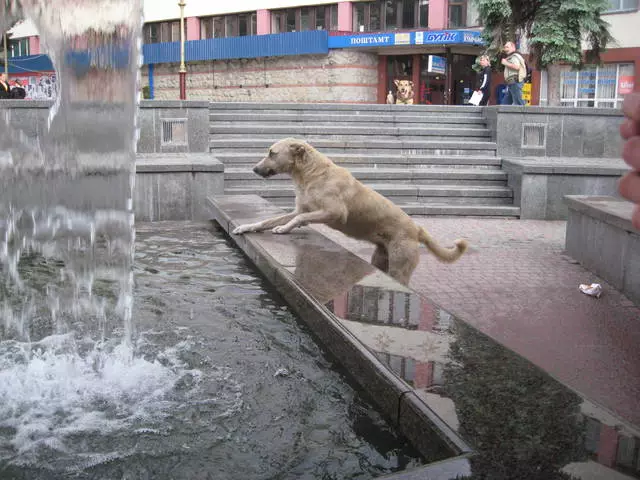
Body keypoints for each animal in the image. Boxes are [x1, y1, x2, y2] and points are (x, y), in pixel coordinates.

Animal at [232, 140, 468, 288]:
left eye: (272, 153)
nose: (254, 169)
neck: (310, 174)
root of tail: (417, 228)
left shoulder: (334, 213)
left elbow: (298, 219)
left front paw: (283, 229)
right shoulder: (300, 209)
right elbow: (268, 220)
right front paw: (247, 227)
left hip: (399, 267)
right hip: (380, 259)